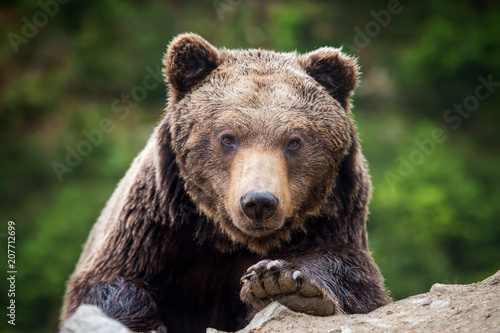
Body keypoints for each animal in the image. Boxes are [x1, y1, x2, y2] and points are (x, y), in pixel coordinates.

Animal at [60, 33, 390, 332]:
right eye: (228, 138)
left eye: (294, 142)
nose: (259, 202)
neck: (225, 238)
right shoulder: (154, 226)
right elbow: (104, 285)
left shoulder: (334, 218)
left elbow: (355, 278)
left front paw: (282, 283)